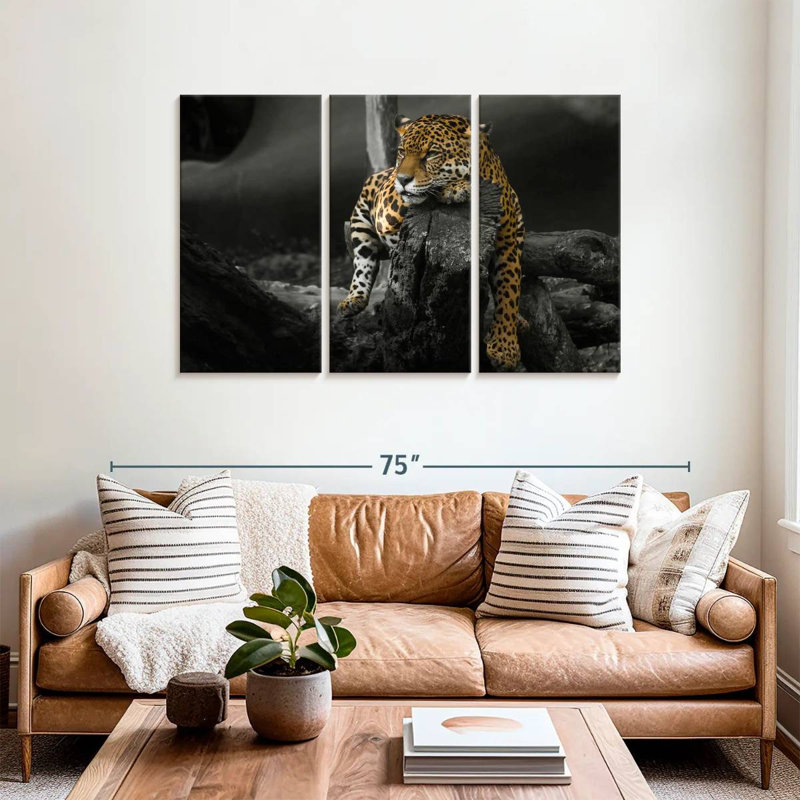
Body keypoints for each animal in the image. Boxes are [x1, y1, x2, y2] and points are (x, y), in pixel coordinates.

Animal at [338, 113, 525, 371]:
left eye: (431, 154)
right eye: (402, 152)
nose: (402, 179)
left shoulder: (507, 244)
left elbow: (509, 290)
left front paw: (505, 347)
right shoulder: (389, 203)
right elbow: (422, 193)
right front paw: (456, 187)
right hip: (363, 216)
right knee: (363, 260)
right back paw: (354, 299)